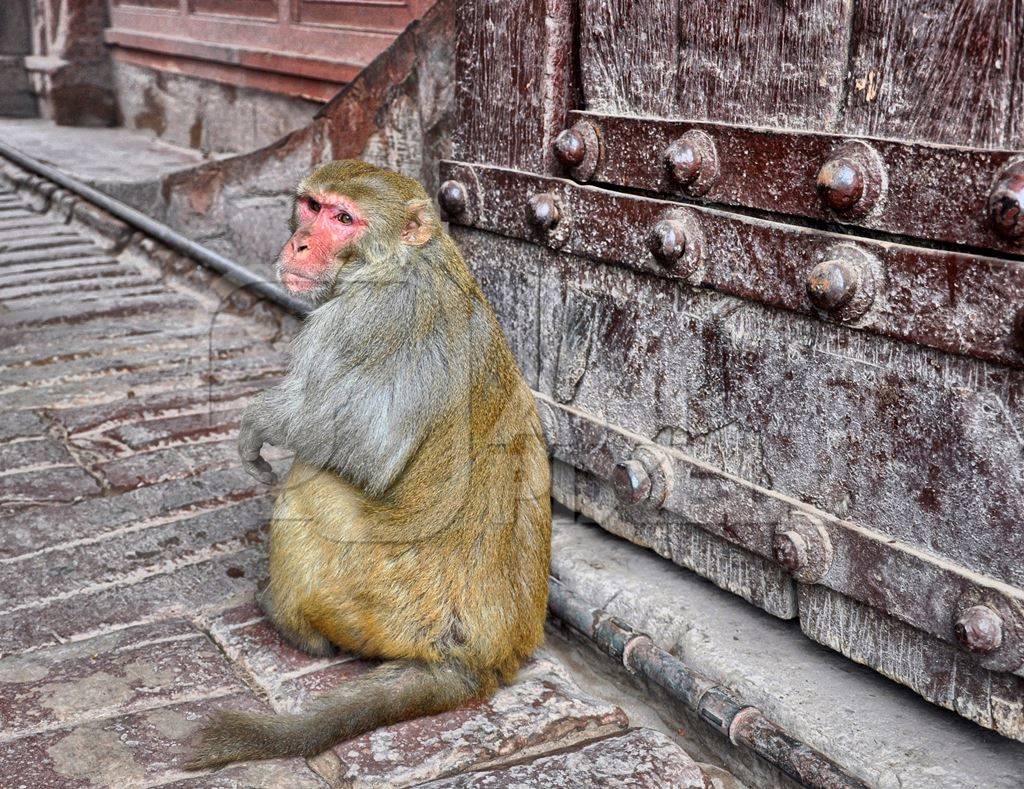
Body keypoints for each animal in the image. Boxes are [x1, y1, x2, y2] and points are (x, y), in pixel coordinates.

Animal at [186, 160, 552, 769]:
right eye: (311, 206)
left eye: (343, 219)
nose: (299, 242)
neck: (403, 258)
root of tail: (478, 662)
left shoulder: (361, 319)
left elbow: (368, 447)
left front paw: (260, 420)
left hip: (379, 602)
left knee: (310, 481)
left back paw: (289, 622)